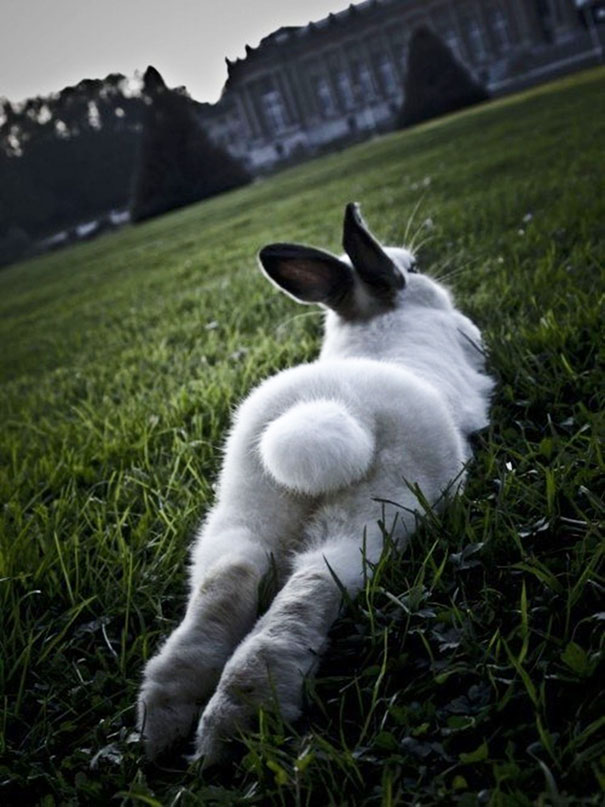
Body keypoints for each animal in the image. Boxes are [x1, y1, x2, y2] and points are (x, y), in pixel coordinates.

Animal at [136, 202, 495, 765]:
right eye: (412, 268)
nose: (426, 274)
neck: (374, 320)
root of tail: (331, 405)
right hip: (383, 507)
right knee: (313, 582)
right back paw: (242, 717)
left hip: (245, 503)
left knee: (231, 574)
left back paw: (168, 716)